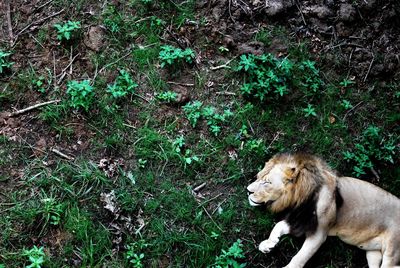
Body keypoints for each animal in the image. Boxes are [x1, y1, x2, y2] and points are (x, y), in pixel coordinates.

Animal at [247, 153, 400, 268]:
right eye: (258, 177)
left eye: (267, 182)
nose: (248, 190)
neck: (299, 200)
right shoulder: (300, 220)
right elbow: (278, 226)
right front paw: (268, 244)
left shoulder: (319, 233)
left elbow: (299, 258)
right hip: (373, 253)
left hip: (392, 252)